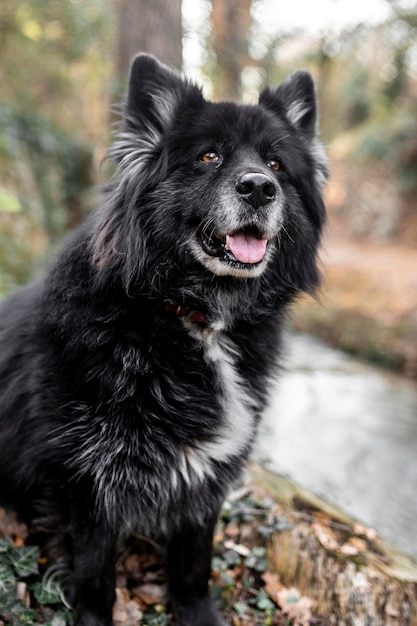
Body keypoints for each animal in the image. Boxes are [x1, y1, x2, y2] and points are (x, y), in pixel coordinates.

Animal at [0, 54, 324, 624]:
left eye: (277, 164)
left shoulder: (206, 476)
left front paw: (199, 616)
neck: (193, 317)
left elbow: (194, 568)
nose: (260, 187)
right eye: (209, 156)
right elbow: (96, 580)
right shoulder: (87, 483)